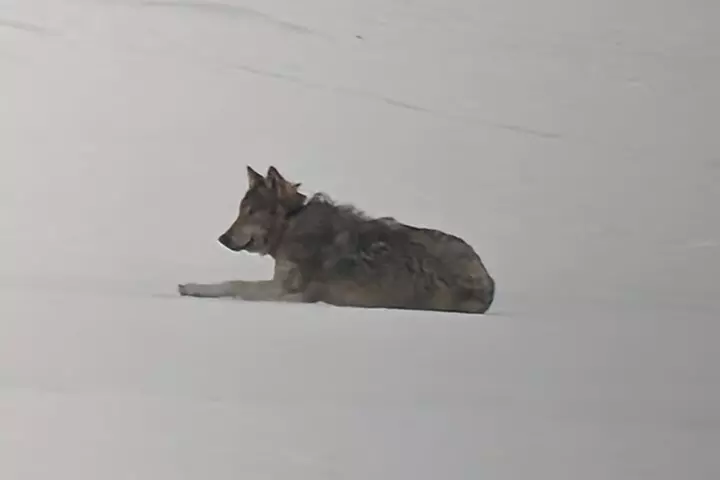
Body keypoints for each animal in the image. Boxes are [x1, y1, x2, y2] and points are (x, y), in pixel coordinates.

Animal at [178, 166, 496, 314]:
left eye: (251, 212)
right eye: (241, 210)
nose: (222, 238)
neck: (292, 223)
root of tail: (489, 281)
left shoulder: (287, 291)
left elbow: (234, 284)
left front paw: (192, 288)